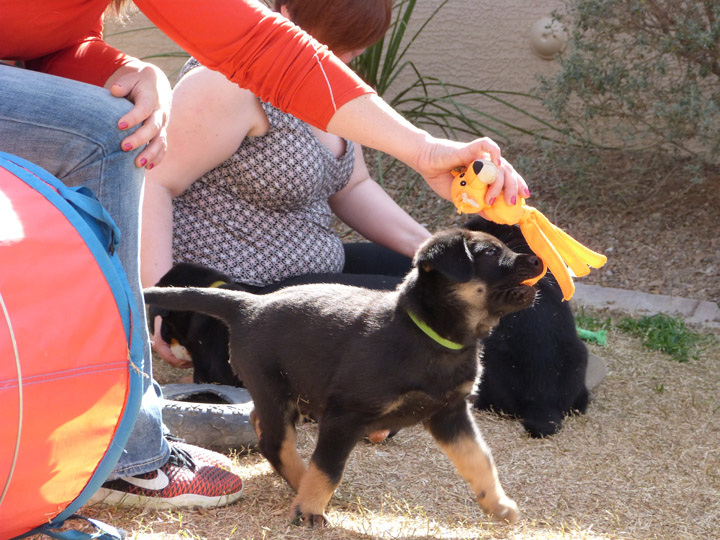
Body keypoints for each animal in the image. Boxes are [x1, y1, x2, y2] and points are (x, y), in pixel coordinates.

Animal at [143, 229, 544, 528]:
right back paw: (301, 483)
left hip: (287, 392)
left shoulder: (450, 412)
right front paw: (310, 511)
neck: (429, 335)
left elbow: (479, 459)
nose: (538, 259)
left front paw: (498, 504)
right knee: (274, 441)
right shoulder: (345, 415)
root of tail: (248, 304)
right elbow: (328, 467)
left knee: (261, 422)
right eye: (490, 253)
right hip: (275, 387)